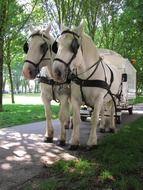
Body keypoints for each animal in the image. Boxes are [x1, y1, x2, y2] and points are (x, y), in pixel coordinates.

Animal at [52, 22, 122, 150]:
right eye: (57, 45)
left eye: (74, 45)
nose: (56, 72)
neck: (86, 77)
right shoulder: (76, 99)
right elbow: (77, 119)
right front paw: (74, 142)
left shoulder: (98, 98)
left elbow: (94, 119)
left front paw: (92, 142)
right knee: (102, 112)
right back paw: (103, 127)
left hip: (112, 97)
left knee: (111, 111)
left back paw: (112, 127)